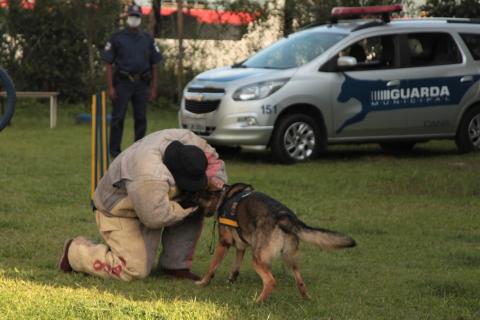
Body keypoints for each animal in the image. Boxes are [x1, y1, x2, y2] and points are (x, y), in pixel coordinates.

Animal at [192, 182, 356, 302]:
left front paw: (203, 282)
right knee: (299, 280)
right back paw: (306, 298)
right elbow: (235, 267)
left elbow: (212, 266)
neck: (224, 197)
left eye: (198, 198)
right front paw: (231, 280)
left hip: (257, 259)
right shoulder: (241, 247)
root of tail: (284, 216)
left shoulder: (223, 244)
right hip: (290, 258)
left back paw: (258, 301)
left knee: (271, 281)